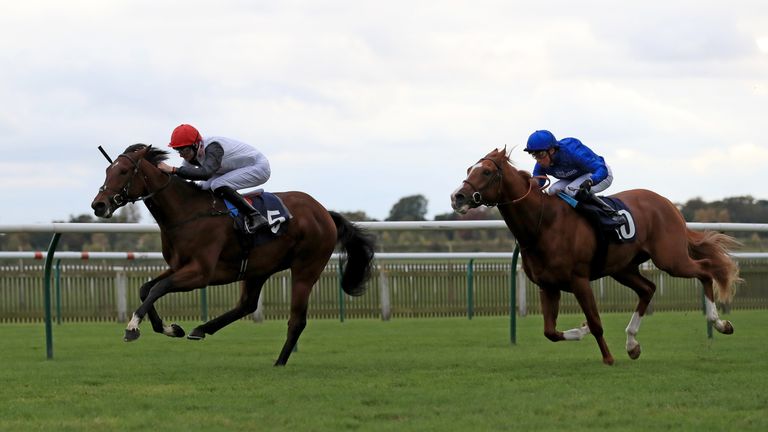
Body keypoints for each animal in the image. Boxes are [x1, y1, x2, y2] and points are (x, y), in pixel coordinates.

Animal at [91, 144, 376, 364]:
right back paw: (201, 329)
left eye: (123, 171)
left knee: (297, 320)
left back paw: (279, 362)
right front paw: (170, 328)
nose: (98, 205)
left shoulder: (201, 273)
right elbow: (146, 288)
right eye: (107, 170)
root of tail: (324, 212)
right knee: (247, 304)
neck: (187, 213)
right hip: (258, 268)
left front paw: (132, 327)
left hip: (306, 269)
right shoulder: (180, 265)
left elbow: (159, 288)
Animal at [450, 148, 736, 364]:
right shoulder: (548, 286)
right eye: (469, 169)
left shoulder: (579, 280)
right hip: (622, 268)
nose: (457, 197)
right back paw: (632, 343)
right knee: (648, 289)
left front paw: (608, 357)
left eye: (486, 172)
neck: (543, 225)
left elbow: (596, 322)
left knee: (706, 270)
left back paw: (719, 323)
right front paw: (582, 330)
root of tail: (668, 203)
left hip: (670, 259)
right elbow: (550, 332)